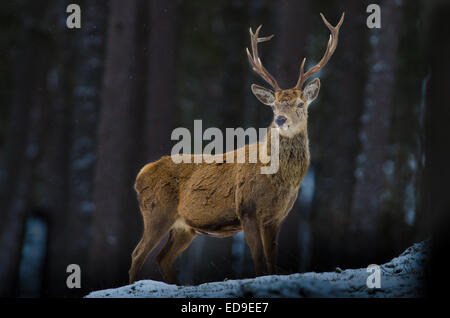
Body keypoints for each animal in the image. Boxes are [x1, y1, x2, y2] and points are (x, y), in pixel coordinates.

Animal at [127, 13, 344, 286]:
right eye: (274, 106)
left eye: (300, 104)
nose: (280, 119)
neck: (278, 180)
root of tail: (140, 174)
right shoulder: (247, 209)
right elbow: (259, 261)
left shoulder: (276, 217)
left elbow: (272, 262)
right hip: (156, 212)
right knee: (137, 254)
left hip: (184, 227)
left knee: (163, 258)